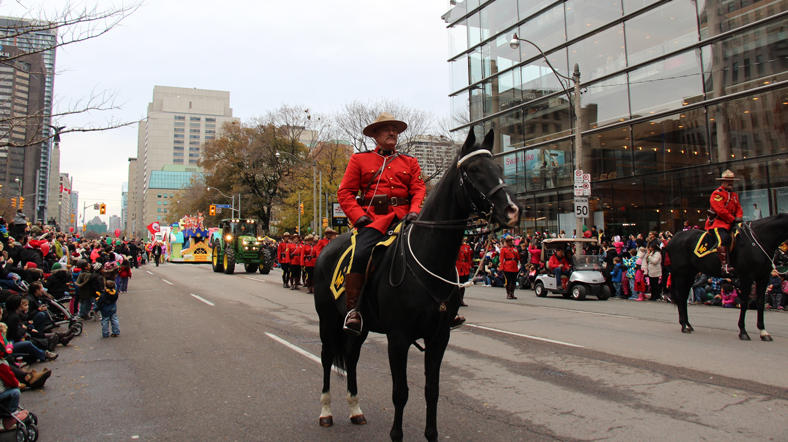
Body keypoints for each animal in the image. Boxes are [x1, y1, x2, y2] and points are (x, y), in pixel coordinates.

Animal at [314, 129, 524, 440]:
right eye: (475, 170)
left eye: (498, 167)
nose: (512, 210)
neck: (430, 258)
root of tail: (327, 247)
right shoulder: (398, 338)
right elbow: (400, 392)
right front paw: (396, 435)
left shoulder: (439, 337)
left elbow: (432, 390)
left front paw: (431, 434)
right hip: (327, 320)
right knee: (327, 357)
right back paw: (326, 412)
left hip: (360, 326)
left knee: (351, 358)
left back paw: (355, 410)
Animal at [668, 214, 788, 342]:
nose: (783, 257)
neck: (759, 240)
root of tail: (675, 237)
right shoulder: (746, 277)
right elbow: (744, 302)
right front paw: (743, 331)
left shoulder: (763, 278)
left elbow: (760, 302)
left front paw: (763, 332)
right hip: (681, 272)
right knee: (680, 296)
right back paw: (684, 326)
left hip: (690, 273)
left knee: (684, 296)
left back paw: (688, 324)